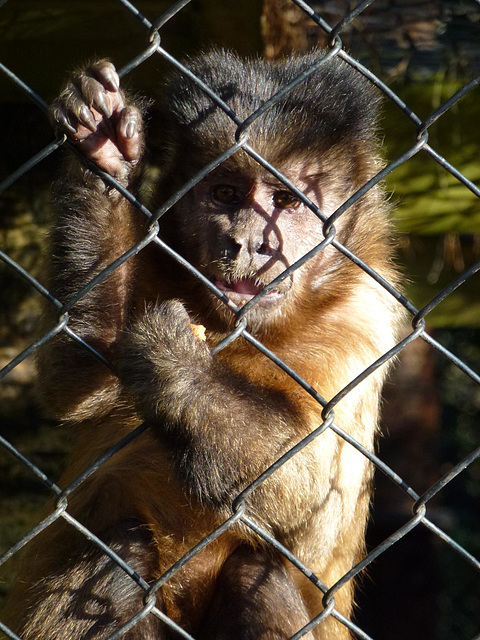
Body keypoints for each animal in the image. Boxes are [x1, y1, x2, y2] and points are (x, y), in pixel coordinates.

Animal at [3, 51, 402, 640]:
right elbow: (78, 382)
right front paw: (105, 151)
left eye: (285, 201)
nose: (249, 242)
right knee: (119, 553)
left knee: (258, 570)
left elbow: (315, 503)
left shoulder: (369, 317)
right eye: (227, 194)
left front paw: (179, 368)